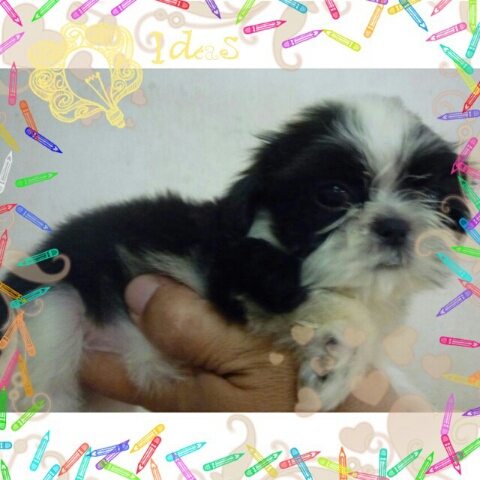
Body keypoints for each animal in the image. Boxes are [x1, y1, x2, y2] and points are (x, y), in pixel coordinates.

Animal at [0, 95, 468, 412]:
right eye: (333, 194)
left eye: (429, 194)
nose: (394, 225)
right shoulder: (240, 272)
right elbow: (319, 303)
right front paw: (335, 362)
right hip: (52, 308)